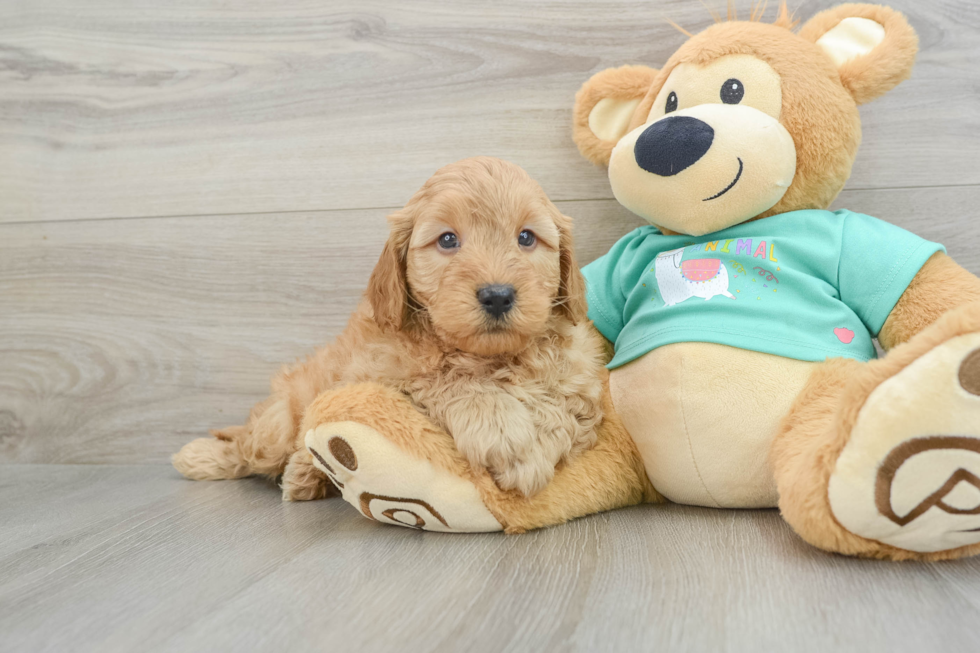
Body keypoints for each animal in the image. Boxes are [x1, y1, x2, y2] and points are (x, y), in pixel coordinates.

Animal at [174, 155, 604, 496]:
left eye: (526, 238)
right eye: (447, 240)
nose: (497, 295)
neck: (490, 357)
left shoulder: (583, 383)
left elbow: (564, 409)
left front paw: (533, 449)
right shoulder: (378, 377)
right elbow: (445, 379)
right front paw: (505, 434)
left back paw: (305, 477)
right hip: (280, 423)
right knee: (249, 449)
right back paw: (203, 458)